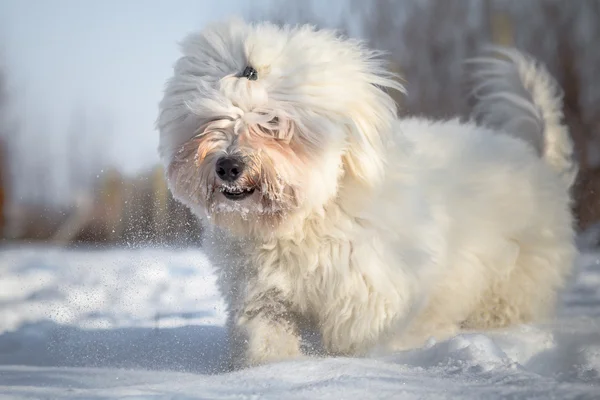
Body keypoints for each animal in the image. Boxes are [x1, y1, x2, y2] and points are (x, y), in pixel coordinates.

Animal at [157, 18, 580, 368]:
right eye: (213, 119)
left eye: (273, 121)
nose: (228, 166)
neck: (308, 219)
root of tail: (537, 160)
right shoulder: (261, 293)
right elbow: (265, 332)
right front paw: (271, 368)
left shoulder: (368, 293)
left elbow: (354, 339)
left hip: (511, 279)